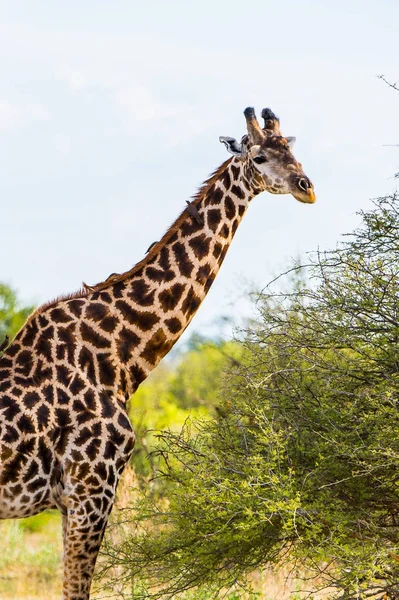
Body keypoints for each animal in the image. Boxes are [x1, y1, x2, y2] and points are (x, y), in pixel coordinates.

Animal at [0, 105, 316, 596]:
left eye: (294, 149)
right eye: (260, 157)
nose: (307, 187)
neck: (121, 357)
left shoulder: (75, 500)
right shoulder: (91, 491)